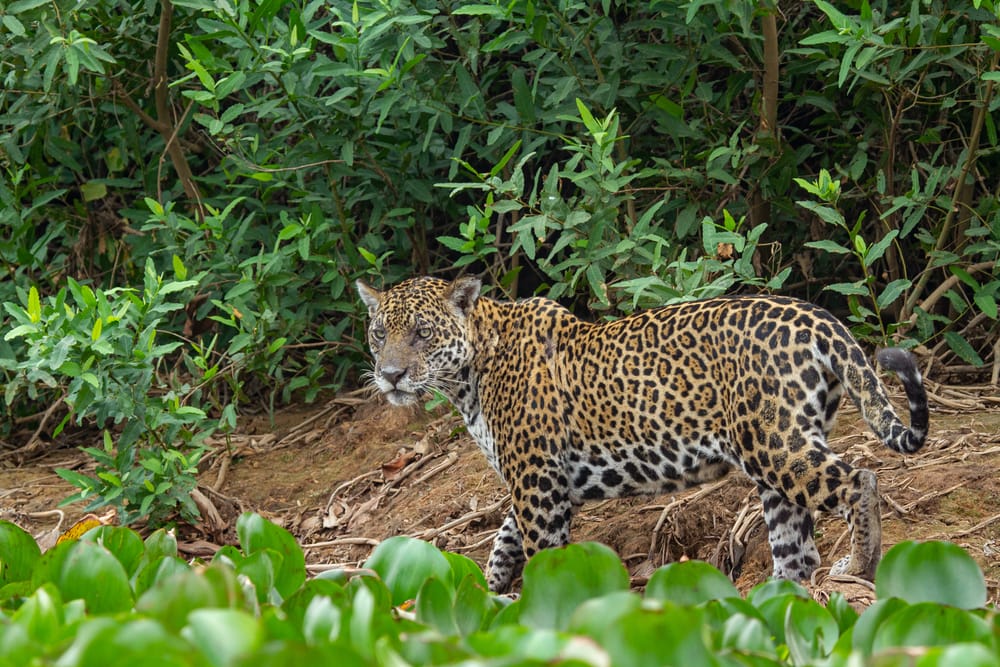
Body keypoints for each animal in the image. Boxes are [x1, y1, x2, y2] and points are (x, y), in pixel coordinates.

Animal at [357, 276, 928, 593]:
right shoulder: (541, 482)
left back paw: (858, 567)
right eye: (380, 334)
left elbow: (542, 552)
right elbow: (505, 537)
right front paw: (486, 590)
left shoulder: (537, 480)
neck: (471, 376)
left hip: (775, 443)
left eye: (421, 333)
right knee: (797, 550)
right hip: (778, 455)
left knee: (860, 480)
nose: (390, 375)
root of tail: (819, 317)